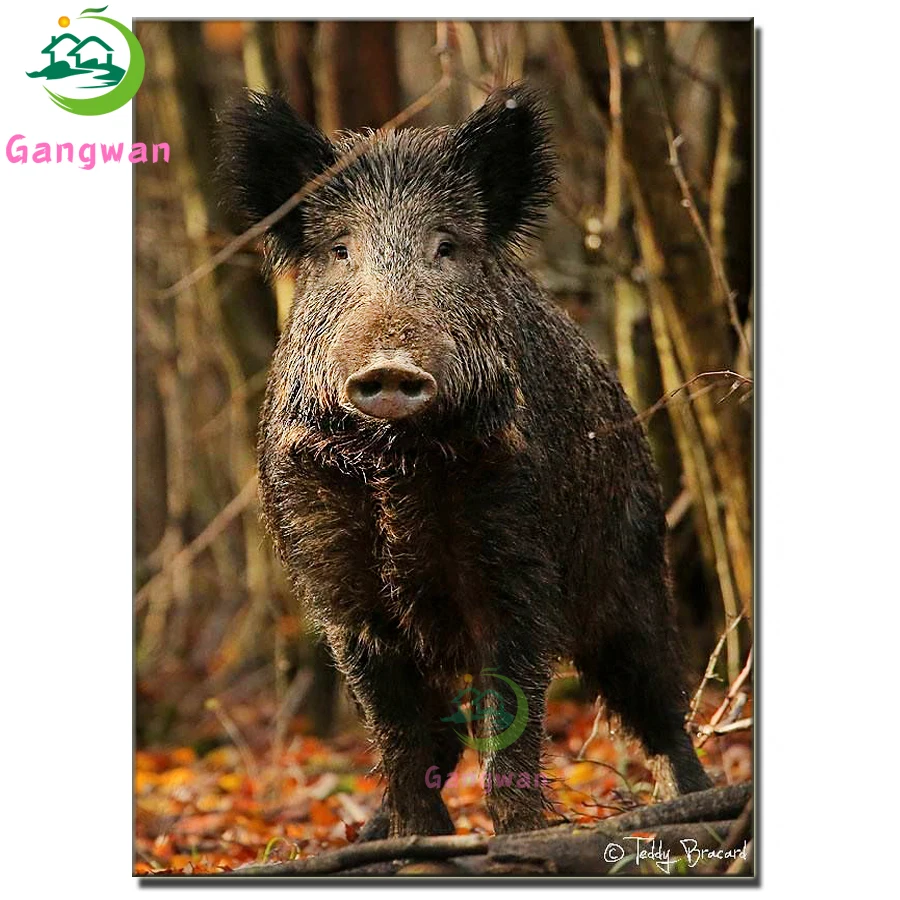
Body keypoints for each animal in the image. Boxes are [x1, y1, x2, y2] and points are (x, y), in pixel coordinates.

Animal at [219, 84, 712, 839]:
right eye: (340, 250)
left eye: (445, 247)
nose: (389, 366)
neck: (395, 467)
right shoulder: (339, 585)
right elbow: (396, 725)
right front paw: (417, 839)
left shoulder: (515, 558)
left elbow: (510, 708)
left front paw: (523, 834)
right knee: (442, 730)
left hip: (631, 564)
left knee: (656, 695)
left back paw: (692, 806)